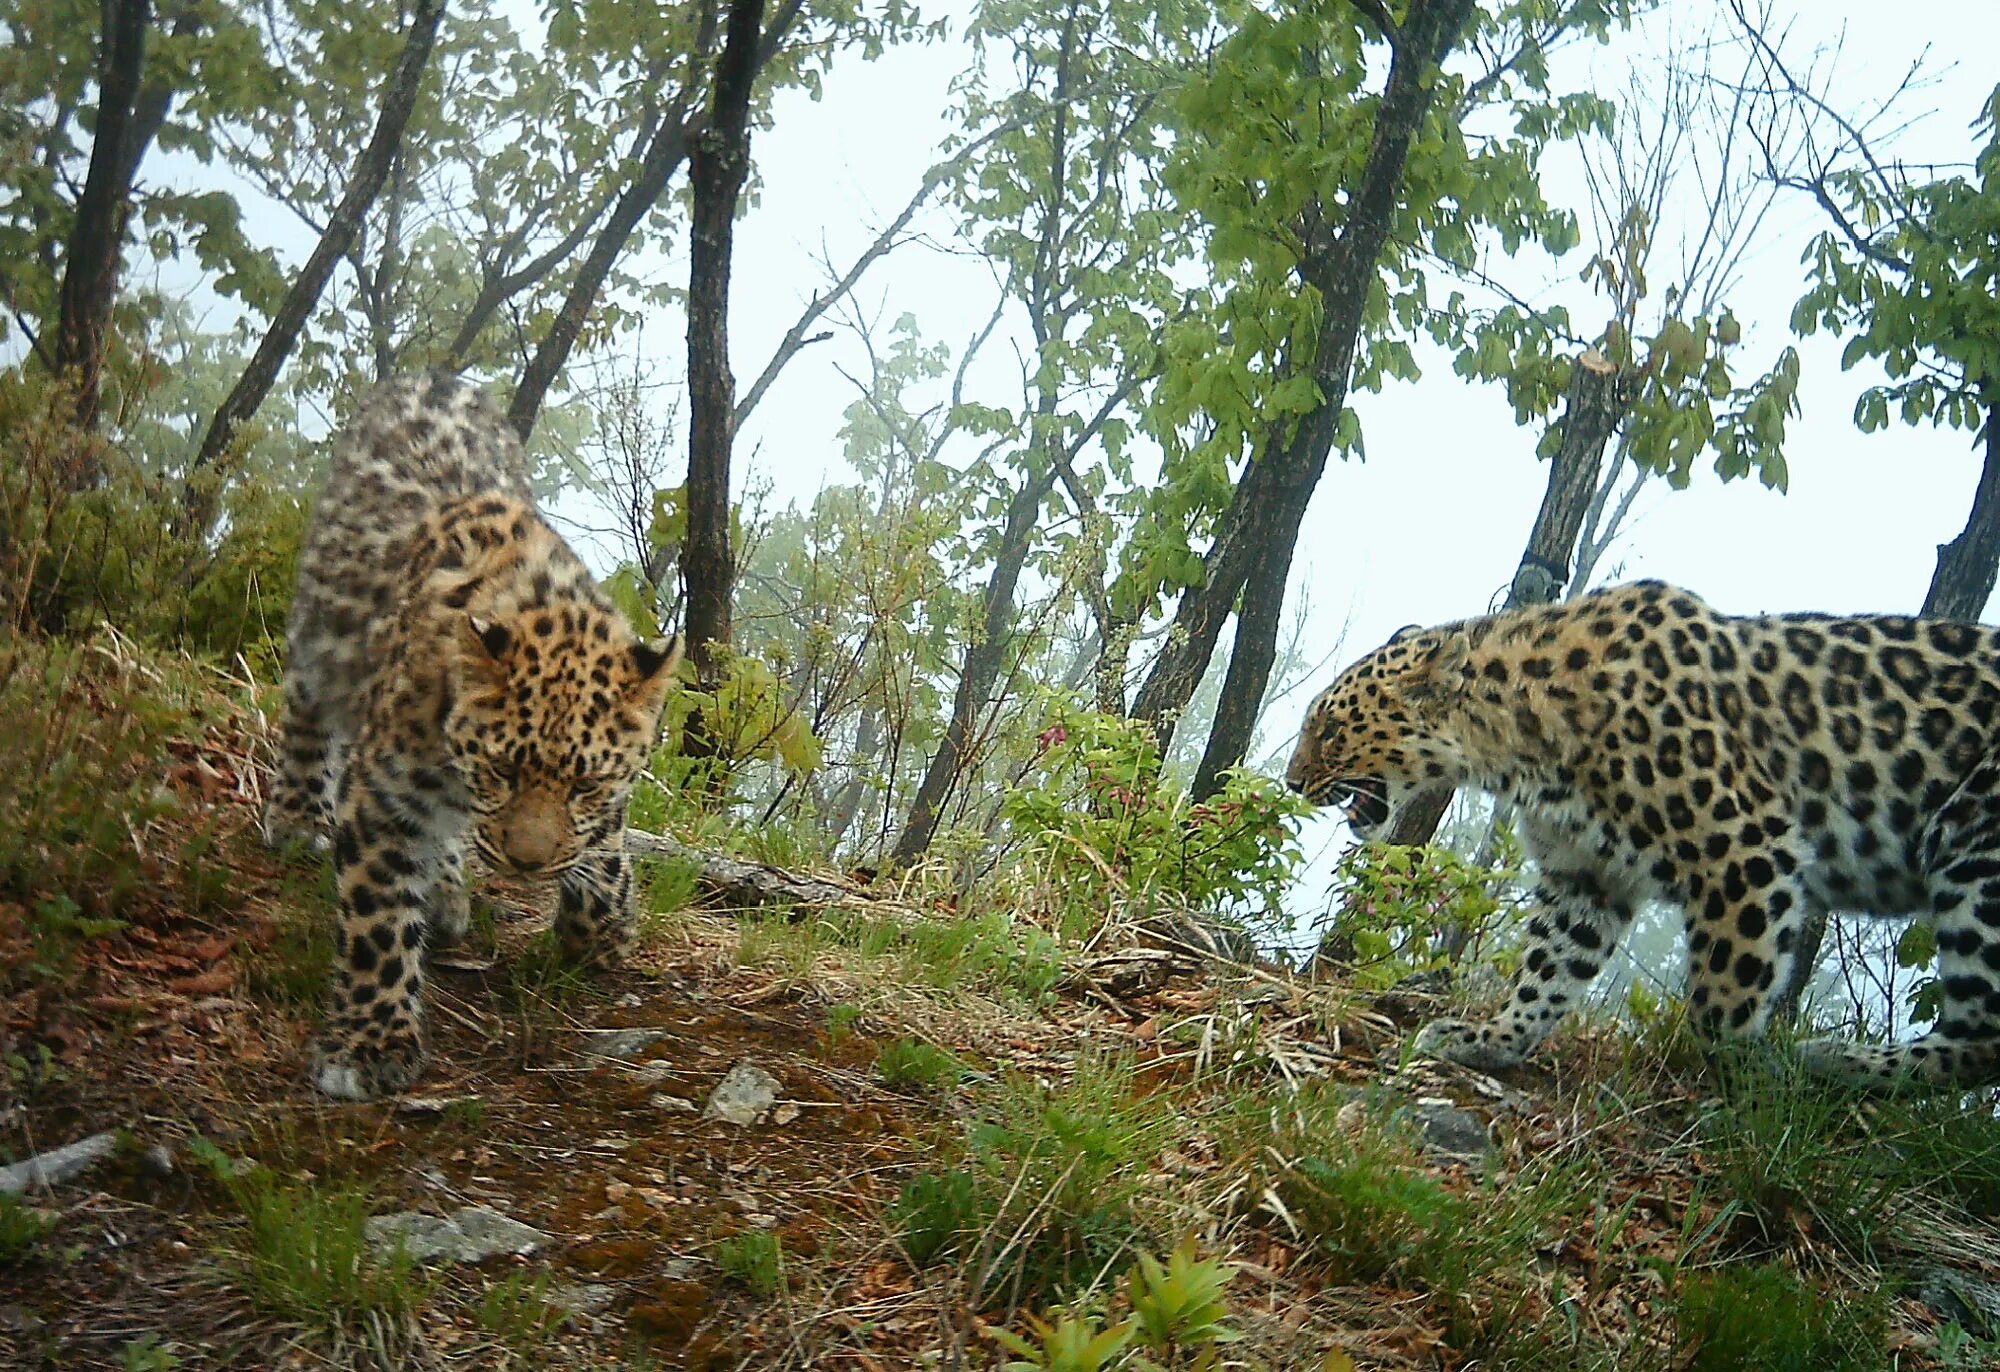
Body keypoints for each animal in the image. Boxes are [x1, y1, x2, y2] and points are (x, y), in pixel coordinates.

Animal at [1288, 576, 2000, 1088]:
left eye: (1329, 729)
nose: (1293, 783)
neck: (1520, 746)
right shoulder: (1586, 875)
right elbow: (1547, 970)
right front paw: (1490, 1041)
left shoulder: (1745, 849)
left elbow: (1724, 994)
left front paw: (1718, 1078)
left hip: (1975, 848)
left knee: (1983, 1037)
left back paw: (1838, 1062)